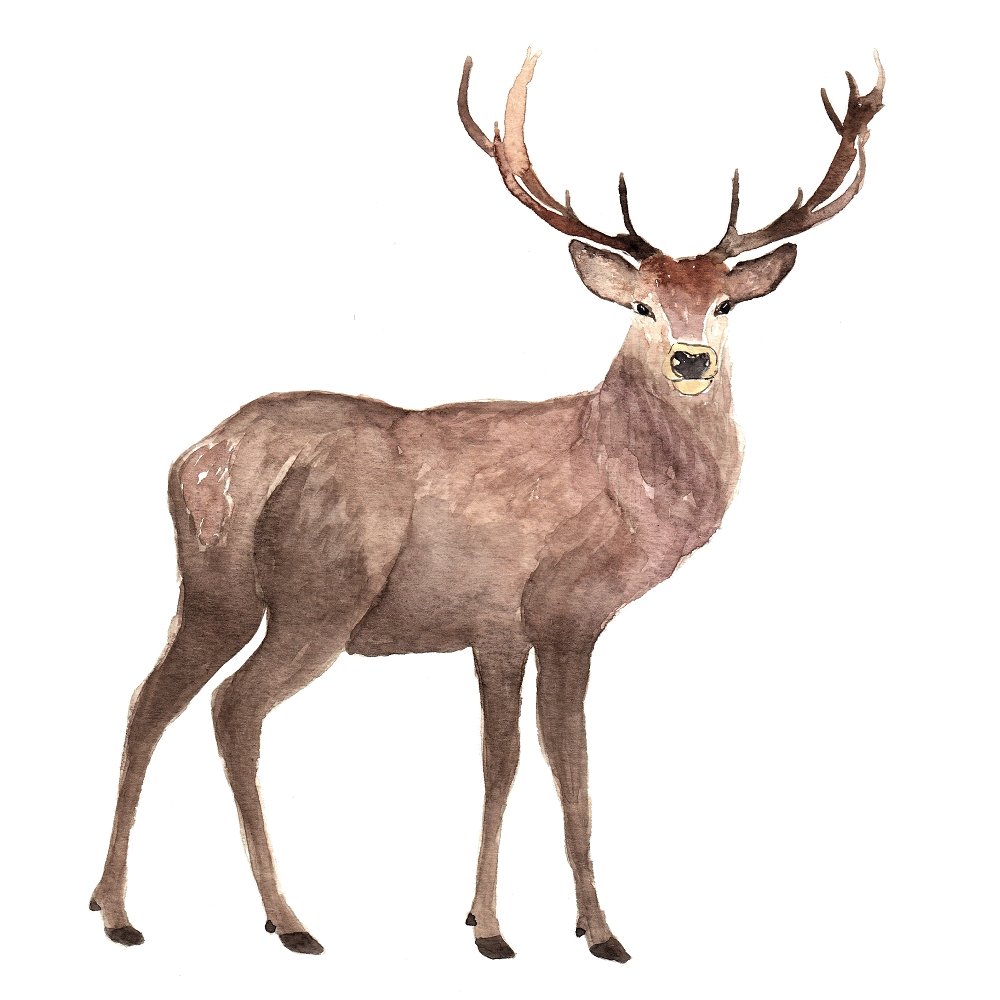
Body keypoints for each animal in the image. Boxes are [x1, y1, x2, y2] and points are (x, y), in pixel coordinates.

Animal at [90, 49, 884, 963]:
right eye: (642, 303)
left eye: (723, 303)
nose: (690, 360)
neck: (612, 476)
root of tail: (209, 460)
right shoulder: (555, 609)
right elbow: (560, 760)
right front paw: (583, 930)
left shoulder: (505, 627)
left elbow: (513, 760)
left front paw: (496, 921)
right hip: (319, 595)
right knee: (233, 708)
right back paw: (286, 918)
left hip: (212, 589)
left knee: (149, 700)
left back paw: (115, 908)